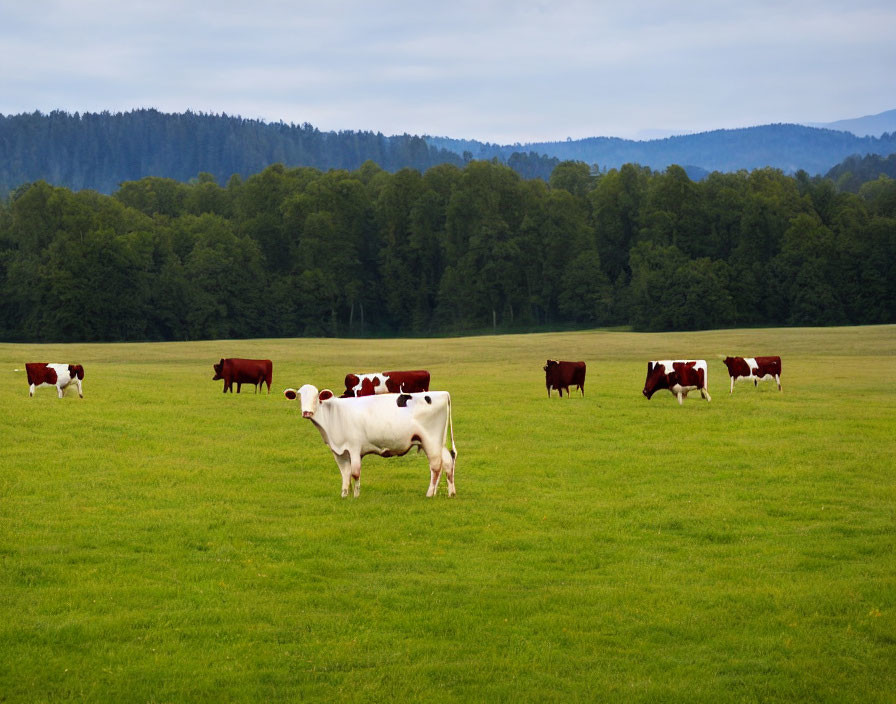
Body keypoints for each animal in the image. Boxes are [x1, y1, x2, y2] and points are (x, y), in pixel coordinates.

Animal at [286, 382, 458, 498]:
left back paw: (429, 493)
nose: (307, 412)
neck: (334, 414)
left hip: (431, 441)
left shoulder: (354, 448)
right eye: (299, 396)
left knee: (435, 466)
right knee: (448, 462)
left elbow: (355, 472)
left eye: (316, 397)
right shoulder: (339, 451)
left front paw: (356, 495)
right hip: (439, 443)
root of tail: (442, 393)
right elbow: (345, 473)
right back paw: (450, 493)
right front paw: (344, 494)